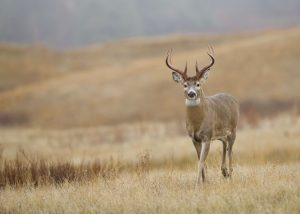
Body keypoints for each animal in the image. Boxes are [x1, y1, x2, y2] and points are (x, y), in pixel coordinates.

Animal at [165, 47, 238, 186]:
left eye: (198, 84)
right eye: (185, 85)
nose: (191, 93)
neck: (197, 123)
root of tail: (233, 99)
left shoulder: (207, 136)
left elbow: (201, 161)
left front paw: (197, 183)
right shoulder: (194, 138)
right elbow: (200, 160)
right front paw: (204, 181)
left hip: (233, 129)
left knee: (230, 151)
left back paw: (230, 175)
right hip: (220, 133)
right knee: (224, 143)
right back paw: (224, 171)